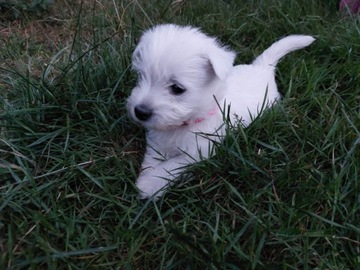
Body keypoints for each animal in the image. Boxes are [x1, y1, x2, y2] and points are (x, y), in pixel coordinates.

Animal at [126, 23, 316, 198]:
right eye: (141, 76)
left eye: (177, 88)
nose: (140, 112)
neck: (187, 122)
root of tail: (262, 68)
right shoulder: (157, 142)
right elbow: (153, 158)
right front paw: (147, 176)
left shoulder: (197, 153)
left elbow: (170, 167)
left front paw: (149, 184)